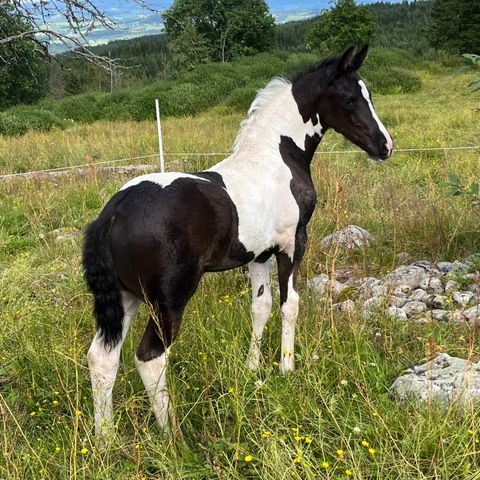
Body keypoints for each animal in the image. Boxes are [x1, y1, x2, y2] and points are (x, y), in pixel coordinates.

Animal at [83, 45, 394, 438]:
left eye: (369, 95)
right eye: (351, 98)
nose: (385, 146)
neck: (278, 157)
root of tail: (114, 211)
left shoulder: (258, 255)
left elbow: (260, 308)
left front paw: (252, 368)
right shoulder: (292, 244)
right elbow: (289, 305)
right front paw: (286, 368)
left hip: (125, 298)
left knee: (102, 358)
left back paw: (105, 438)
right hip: (167, 300)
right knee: (149, 358)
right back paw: (172, 436)